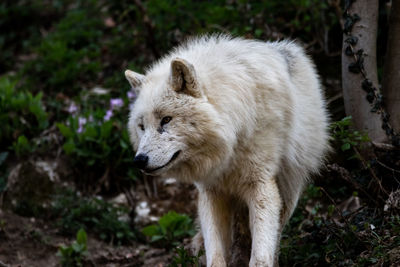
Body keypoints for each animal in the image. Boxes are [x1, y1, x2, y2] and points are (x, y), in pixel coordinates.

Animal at [125, 35, 328, 267]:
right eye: (141, 126)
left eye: (166, 119)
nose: (139, 160)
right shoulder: (211, 191)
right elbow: (215, 255)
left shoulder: (261, 186)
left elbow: (261, 253)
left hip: (289, 191)